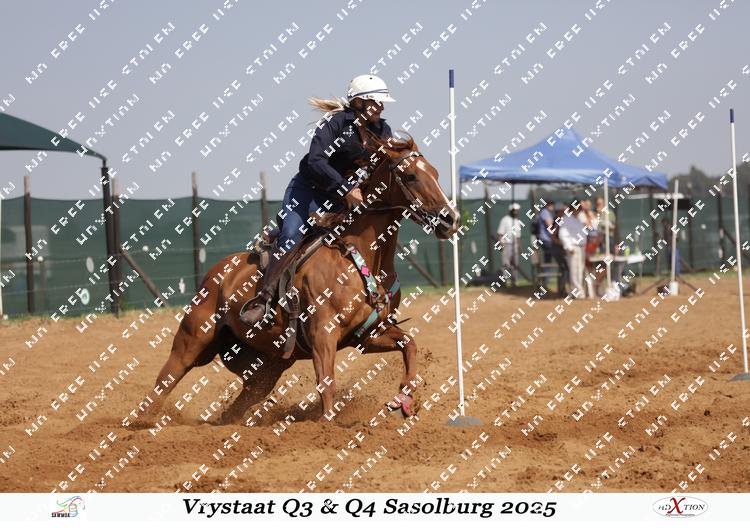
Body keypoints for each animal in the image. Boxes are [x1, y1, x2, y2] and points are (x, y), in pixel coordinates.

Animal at [137, 134, 459, 426]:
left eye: (436, 173)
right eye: (411, 175)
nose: (450, 219)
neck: (359, 256)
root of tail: (216, 272)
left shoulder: (368, 334)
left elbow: (409, 345)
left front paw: (402, 401)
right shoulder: (322, 334)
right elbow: (326, 381)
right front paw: (326, 426)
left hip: (268, 365)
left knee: (237, 405)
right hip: (191, 342)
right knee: (163, 382)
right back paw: (138, 424)